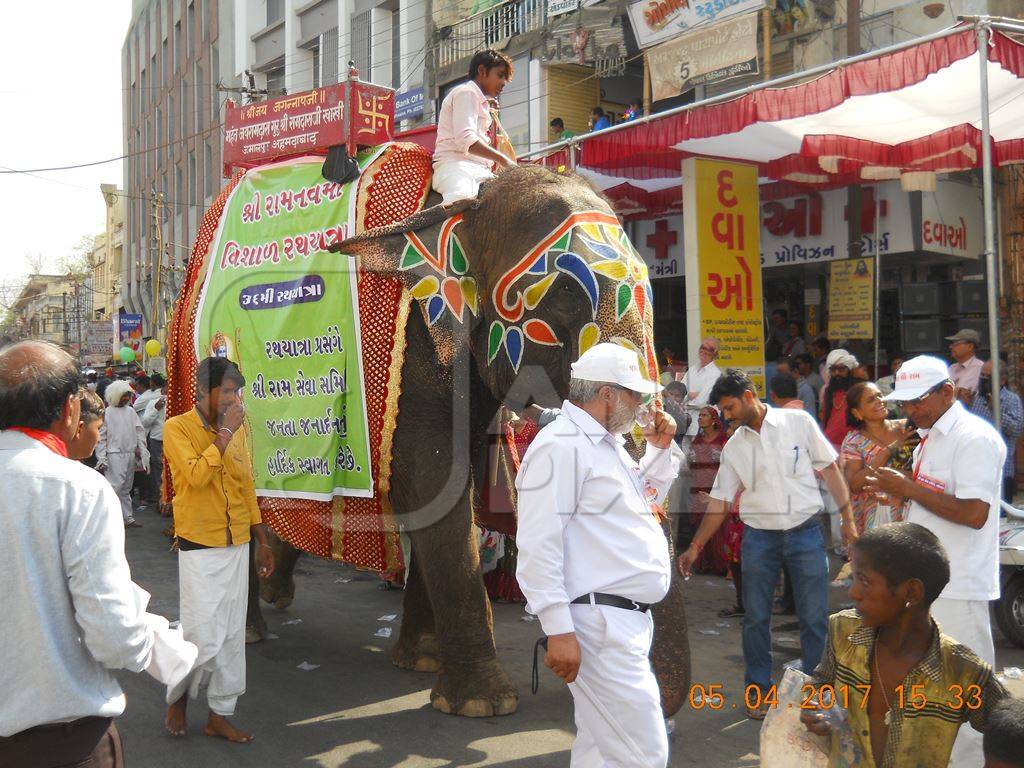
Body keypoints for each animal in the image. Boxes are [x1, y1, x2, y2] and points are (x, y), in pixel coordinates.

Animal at [256, 163, 692, 720]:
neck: (469, 203)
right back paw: (252, 629)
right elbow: (432, 480)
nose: (662, 422)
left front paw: (422, 662)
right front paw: (483, 704)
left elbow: (445, 489)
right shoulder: (416, 348)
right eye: (565, 294)